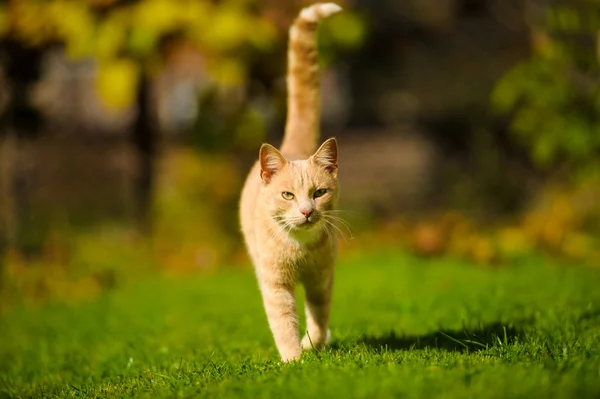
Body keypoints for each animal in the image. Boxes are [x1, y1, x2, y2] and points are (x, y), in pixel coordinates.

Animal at [239, 1, 342, 362]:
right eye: (287, 195)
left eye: (319, 192)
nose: (307, 211)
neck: (300, 249)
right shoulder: (275, 285)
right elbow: (283, 321)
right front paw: (293, 360)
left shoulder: (321, 278)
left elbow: (320, 315)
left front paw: (313, 344)